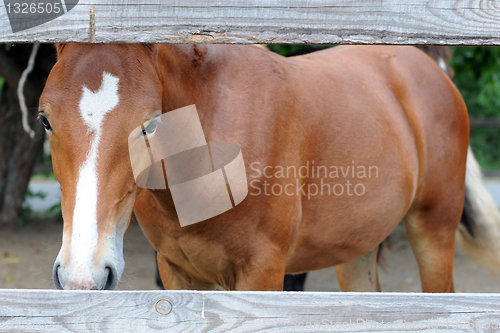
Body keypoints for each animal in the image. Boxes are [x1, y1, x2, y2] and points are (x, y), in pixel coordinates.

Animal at [39, 44, 468, 290]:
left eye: (150, 124)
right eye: (44, 120)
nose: (81, 275)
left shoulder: (262, 273)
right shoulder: (178, 273)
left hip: (434, 232)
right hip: (357, 245)